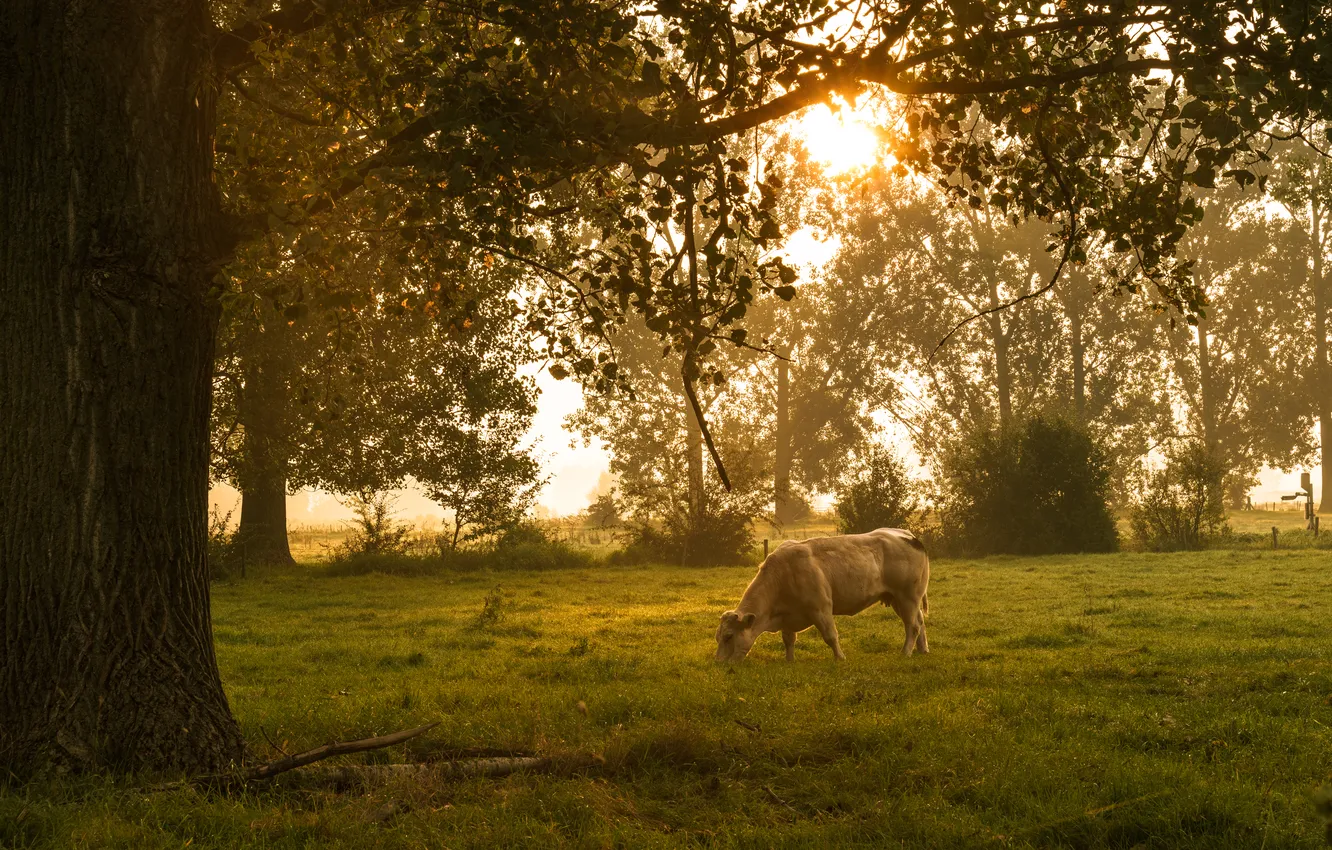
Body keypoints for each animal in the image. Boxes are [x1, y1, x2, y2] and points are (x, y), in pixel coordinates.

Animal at [714, 528, 930, 662]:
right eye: (718, 637)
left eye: (729, 636)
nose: (719, 662)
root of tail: (907, 535)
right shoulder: (787, 616)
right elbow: (788, 639)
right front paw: (789, 661)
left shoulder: (821, 608)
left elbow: (830, 636)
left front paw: (840, 658)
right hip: (898, 599)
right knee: (920, 622)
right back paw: (922, 650)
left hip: (908, 597)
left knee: (912, 626)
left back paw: (905, 652)